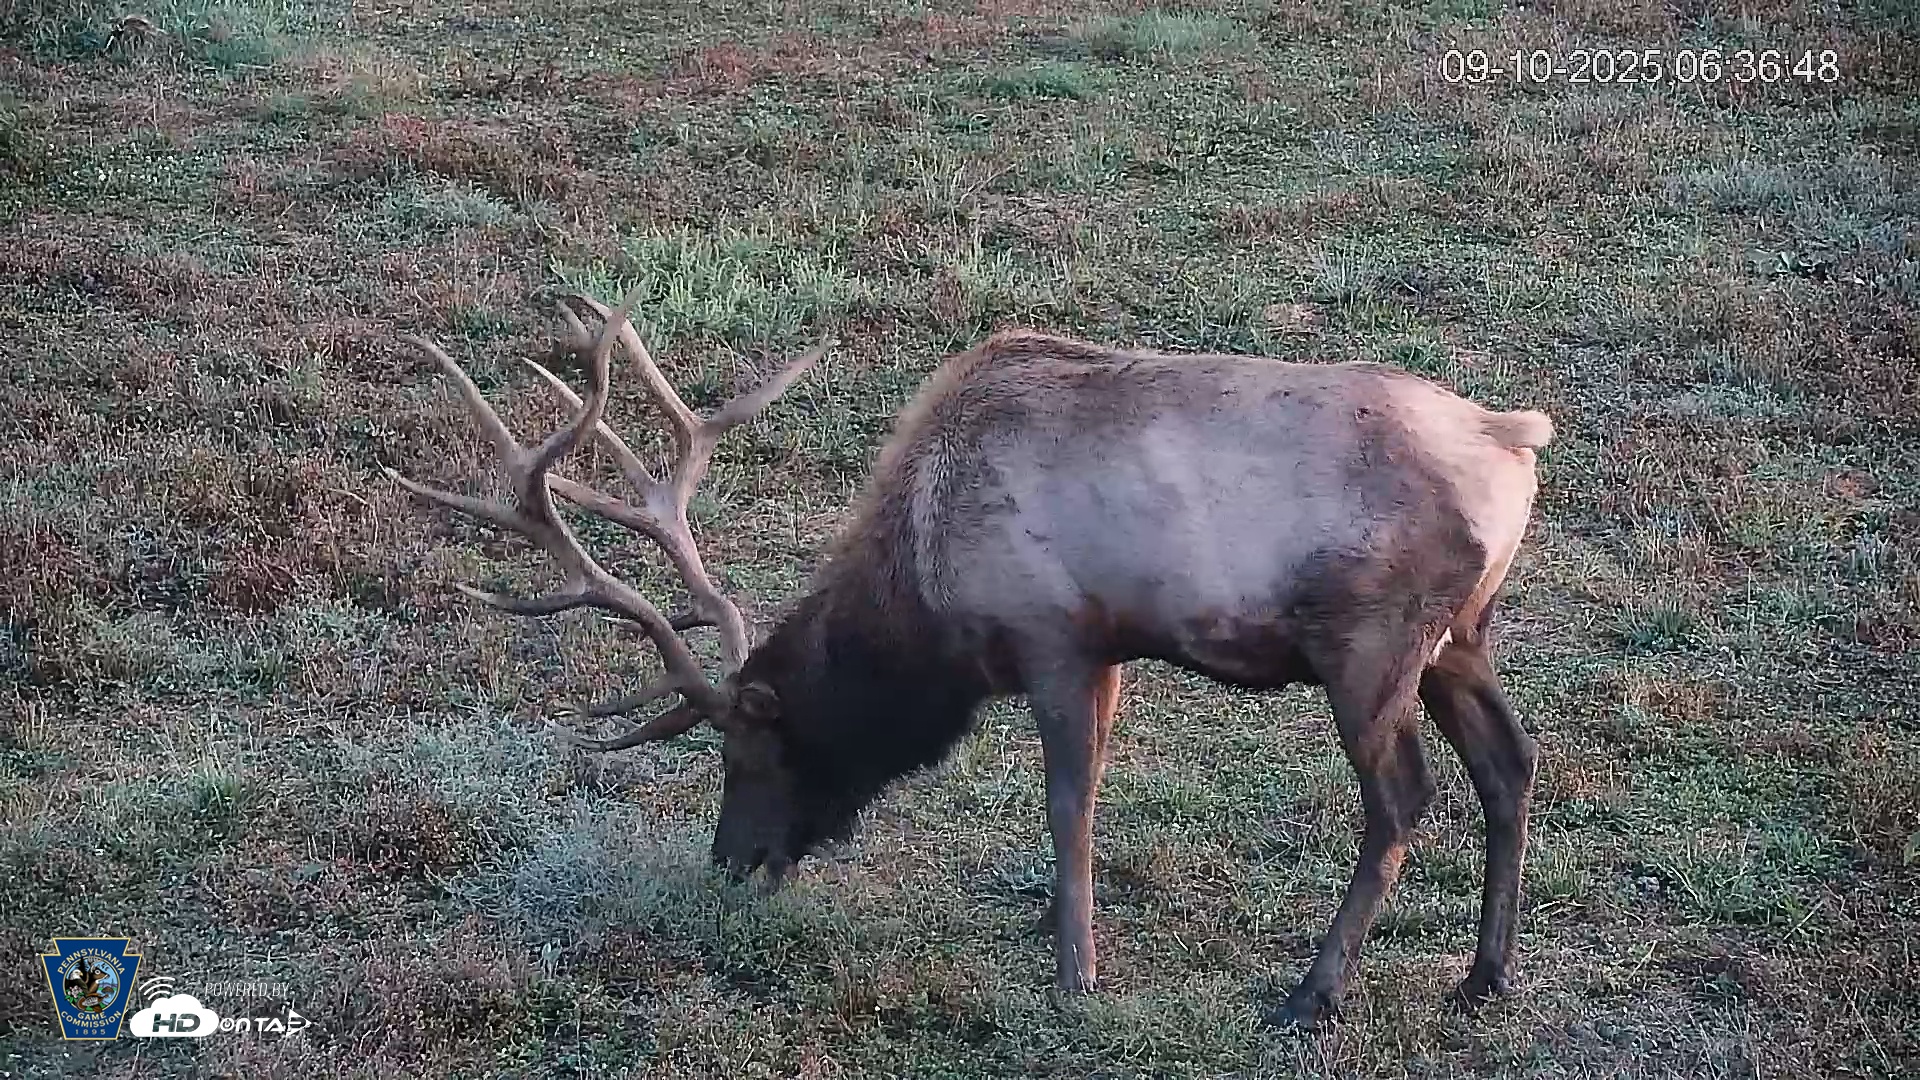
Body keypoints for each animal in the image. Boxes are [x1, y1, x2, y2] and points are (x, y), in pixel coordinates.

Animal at [383, 288, 1553, 1026]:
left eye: (749, 752)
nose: (731, 863)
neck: (930, 590)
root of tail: (1516, 441)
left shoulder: (1051, 636)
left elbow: (1070, 801)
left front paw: (1076, 973)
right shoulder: (1106, 644)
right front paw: (1051, 923)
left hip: (1375, 639)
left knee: (1403, 798)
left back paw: (1312, 995)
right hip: (1463, 634)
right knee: (1511, 760)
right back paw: (1483, 978)